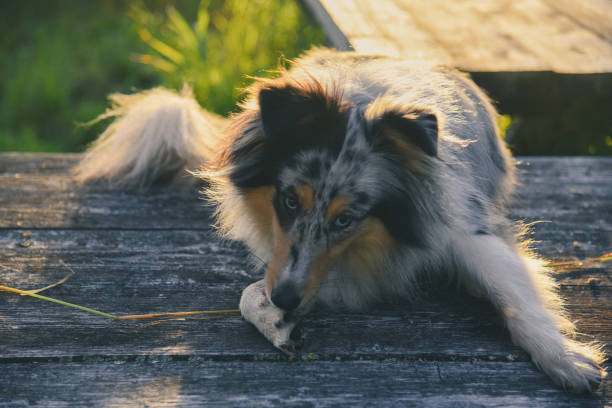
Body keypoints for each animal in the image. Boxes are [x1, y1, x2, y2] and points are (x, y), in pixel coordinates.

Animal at [75, 48, 604, 396]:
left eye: (347, 218)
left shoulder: (466, 226)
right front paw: (275, 320)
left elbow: (517, 292)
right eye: (288, 201)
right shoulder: (294, 262)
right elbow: (249, 292)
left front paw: (567, 359)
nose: (287, 299)